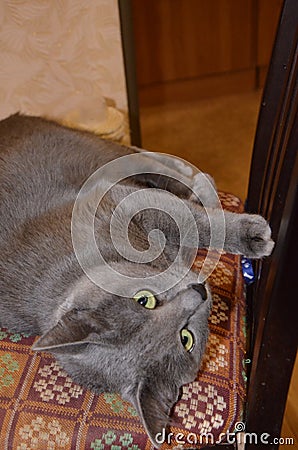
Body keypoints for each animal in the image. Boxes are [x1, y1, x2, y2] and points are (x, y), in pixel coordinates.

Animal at [0, 115, 274, 446]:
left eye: (145, 300)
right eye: (186, 339)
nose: (198, 292)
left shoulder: (118, 200)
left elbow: (194, 222)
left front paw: (251, 235)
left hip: (98, 151)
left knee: (153, 162)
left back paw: (199, 183)